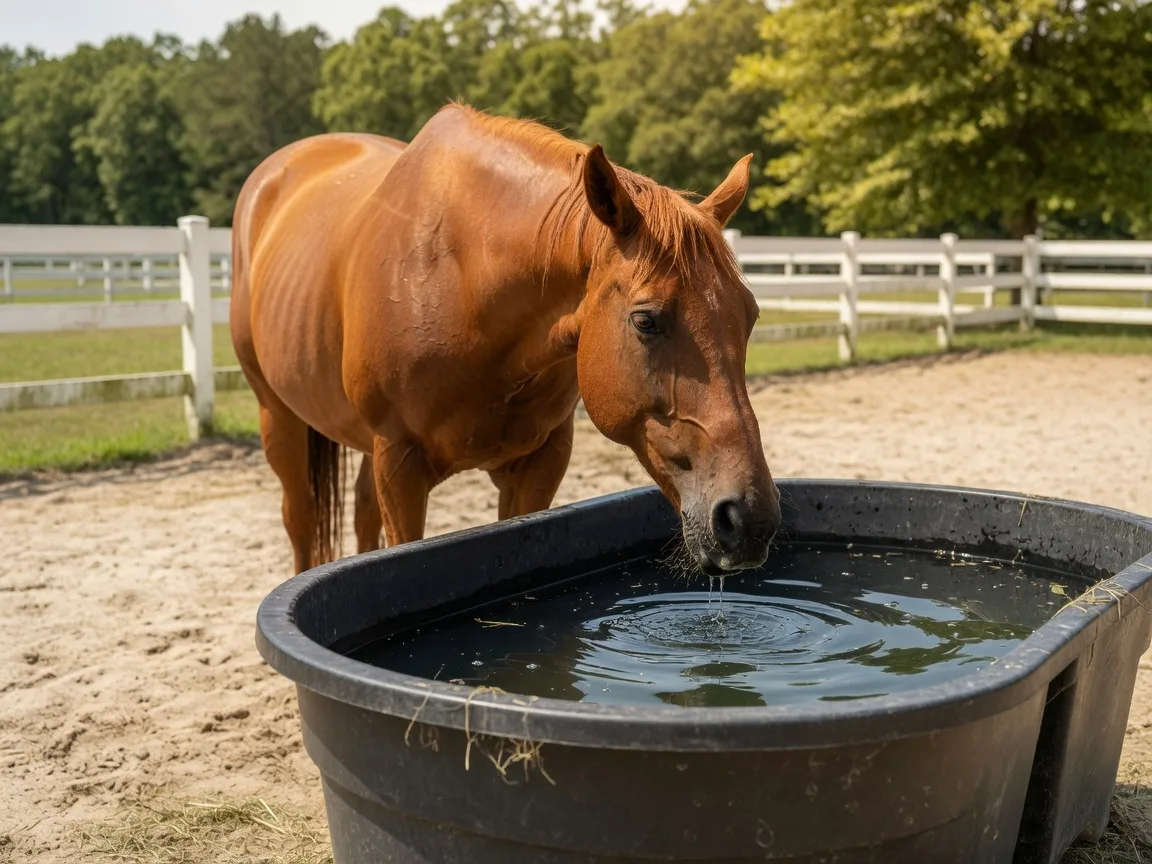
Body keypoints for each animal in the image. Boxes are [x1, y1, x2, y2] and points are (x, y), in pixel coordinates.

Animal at [230, 103, 781, 576]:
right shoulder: (400, 466)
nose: (750, 518)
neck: (463, 282)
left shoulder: (540, 463)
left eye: (750, 316)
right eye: (646, 321)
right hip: (278, 419)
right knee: (301, 521)